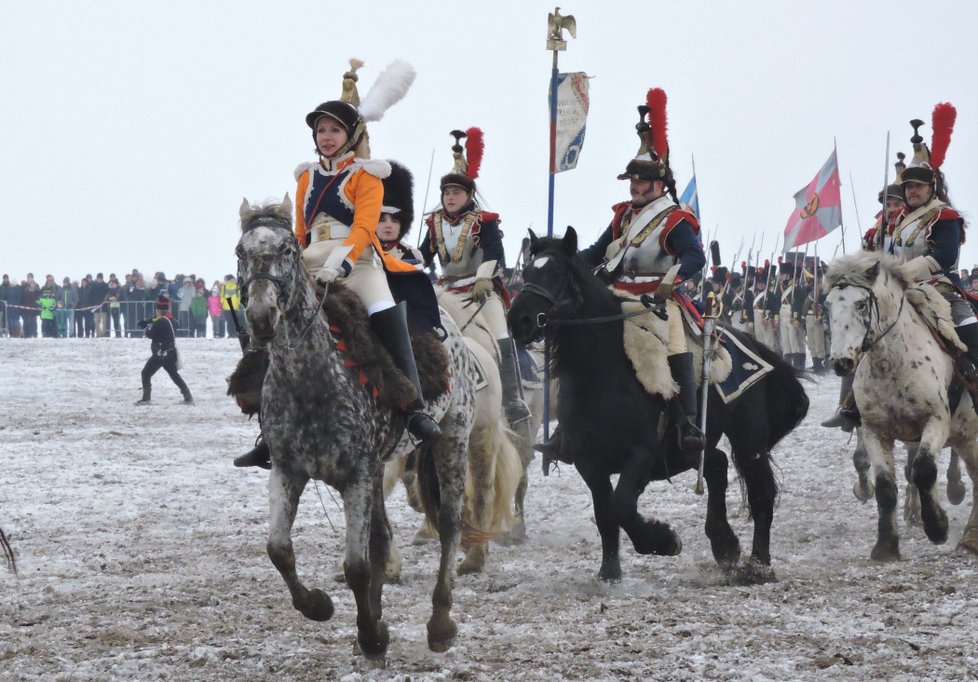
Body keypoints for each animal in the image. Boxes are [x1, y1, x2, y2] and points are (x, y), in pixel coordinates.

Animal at [236, 195, 476, 652]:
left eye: (288, 251)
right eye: (241, 252)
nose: (261, 316)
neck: (309, 380)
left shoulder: (357, 475)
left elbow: (356, 567)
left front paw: (370, 635)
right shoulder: (288, 469)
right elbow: (279, 550)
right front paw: (321, 608)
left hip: (453, 440)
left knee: (451, 525)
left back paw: (440, 623)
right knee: (382, 539)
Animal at [508, 228, 804, 580]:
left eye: (555, 272)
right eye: (527, 272)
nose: (518, 320)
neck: (600, 371)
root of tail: (747, 342)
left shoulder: (643, 456)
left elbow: (621, 506)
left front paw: (663, 541)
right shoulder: (588, 462)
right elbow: (605, 515)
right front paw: (610, 572)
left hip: (749, 440)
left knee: (760, 493)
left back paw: (758, 564)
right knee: (717, 466)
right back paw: (725, 544)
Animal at [824, 250, 976, 556]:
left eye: (861, 304)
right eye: (828, 306)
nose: (841, 361)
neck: (892, 363)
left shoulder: (936, 422)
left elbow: (924, 469)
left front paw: (937, 526)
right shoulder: (875, 430)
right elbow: (885, 485)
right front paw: (885, 545)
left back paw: (967, 535)